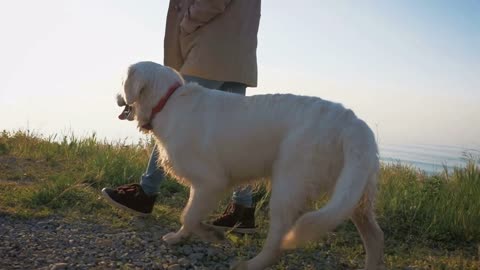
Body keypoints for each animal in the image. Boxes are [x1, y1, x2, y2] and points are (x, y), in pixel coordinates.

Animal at [117, 61, 386, 270]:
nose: (117, 96)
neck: (168, 101)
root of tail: (353, 123)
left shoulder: (211, 182)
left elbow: (189, 215)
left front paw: (210, 234)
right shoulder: (202, 186)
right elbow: (189, 215)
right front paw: (179, 237)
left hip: (288, 186)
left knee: (277, 241)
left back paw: (251, 264)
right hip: (353, 193)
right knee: (375, 237)